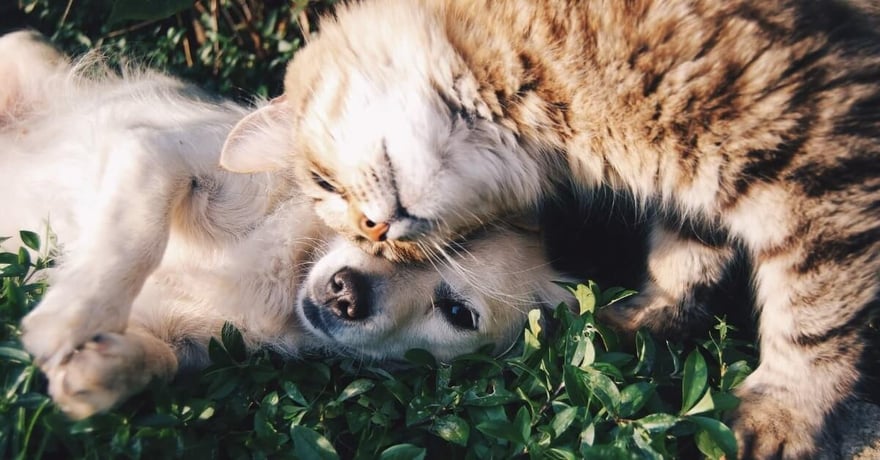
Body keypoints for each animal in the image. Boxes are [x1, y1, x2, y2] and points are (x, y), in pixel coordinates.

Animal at [0, 30, 576, 420]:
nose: (347, 293)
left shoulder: (186, 338)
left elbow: (160, 360)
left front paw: (100, 370)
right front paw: (70, 317)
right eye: (375, 224)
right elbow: (134, 238)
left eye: (458, 313)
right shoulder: (158, 153)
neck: (287, 270)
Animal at [220, 0, 880, 456]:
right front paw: (645, 319)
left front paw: (782, 413)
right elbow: (684, 256)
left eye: (323, 183)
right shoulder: (700, 180)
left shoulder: (816, 156)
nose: (375, 232)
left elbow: (813, 319)